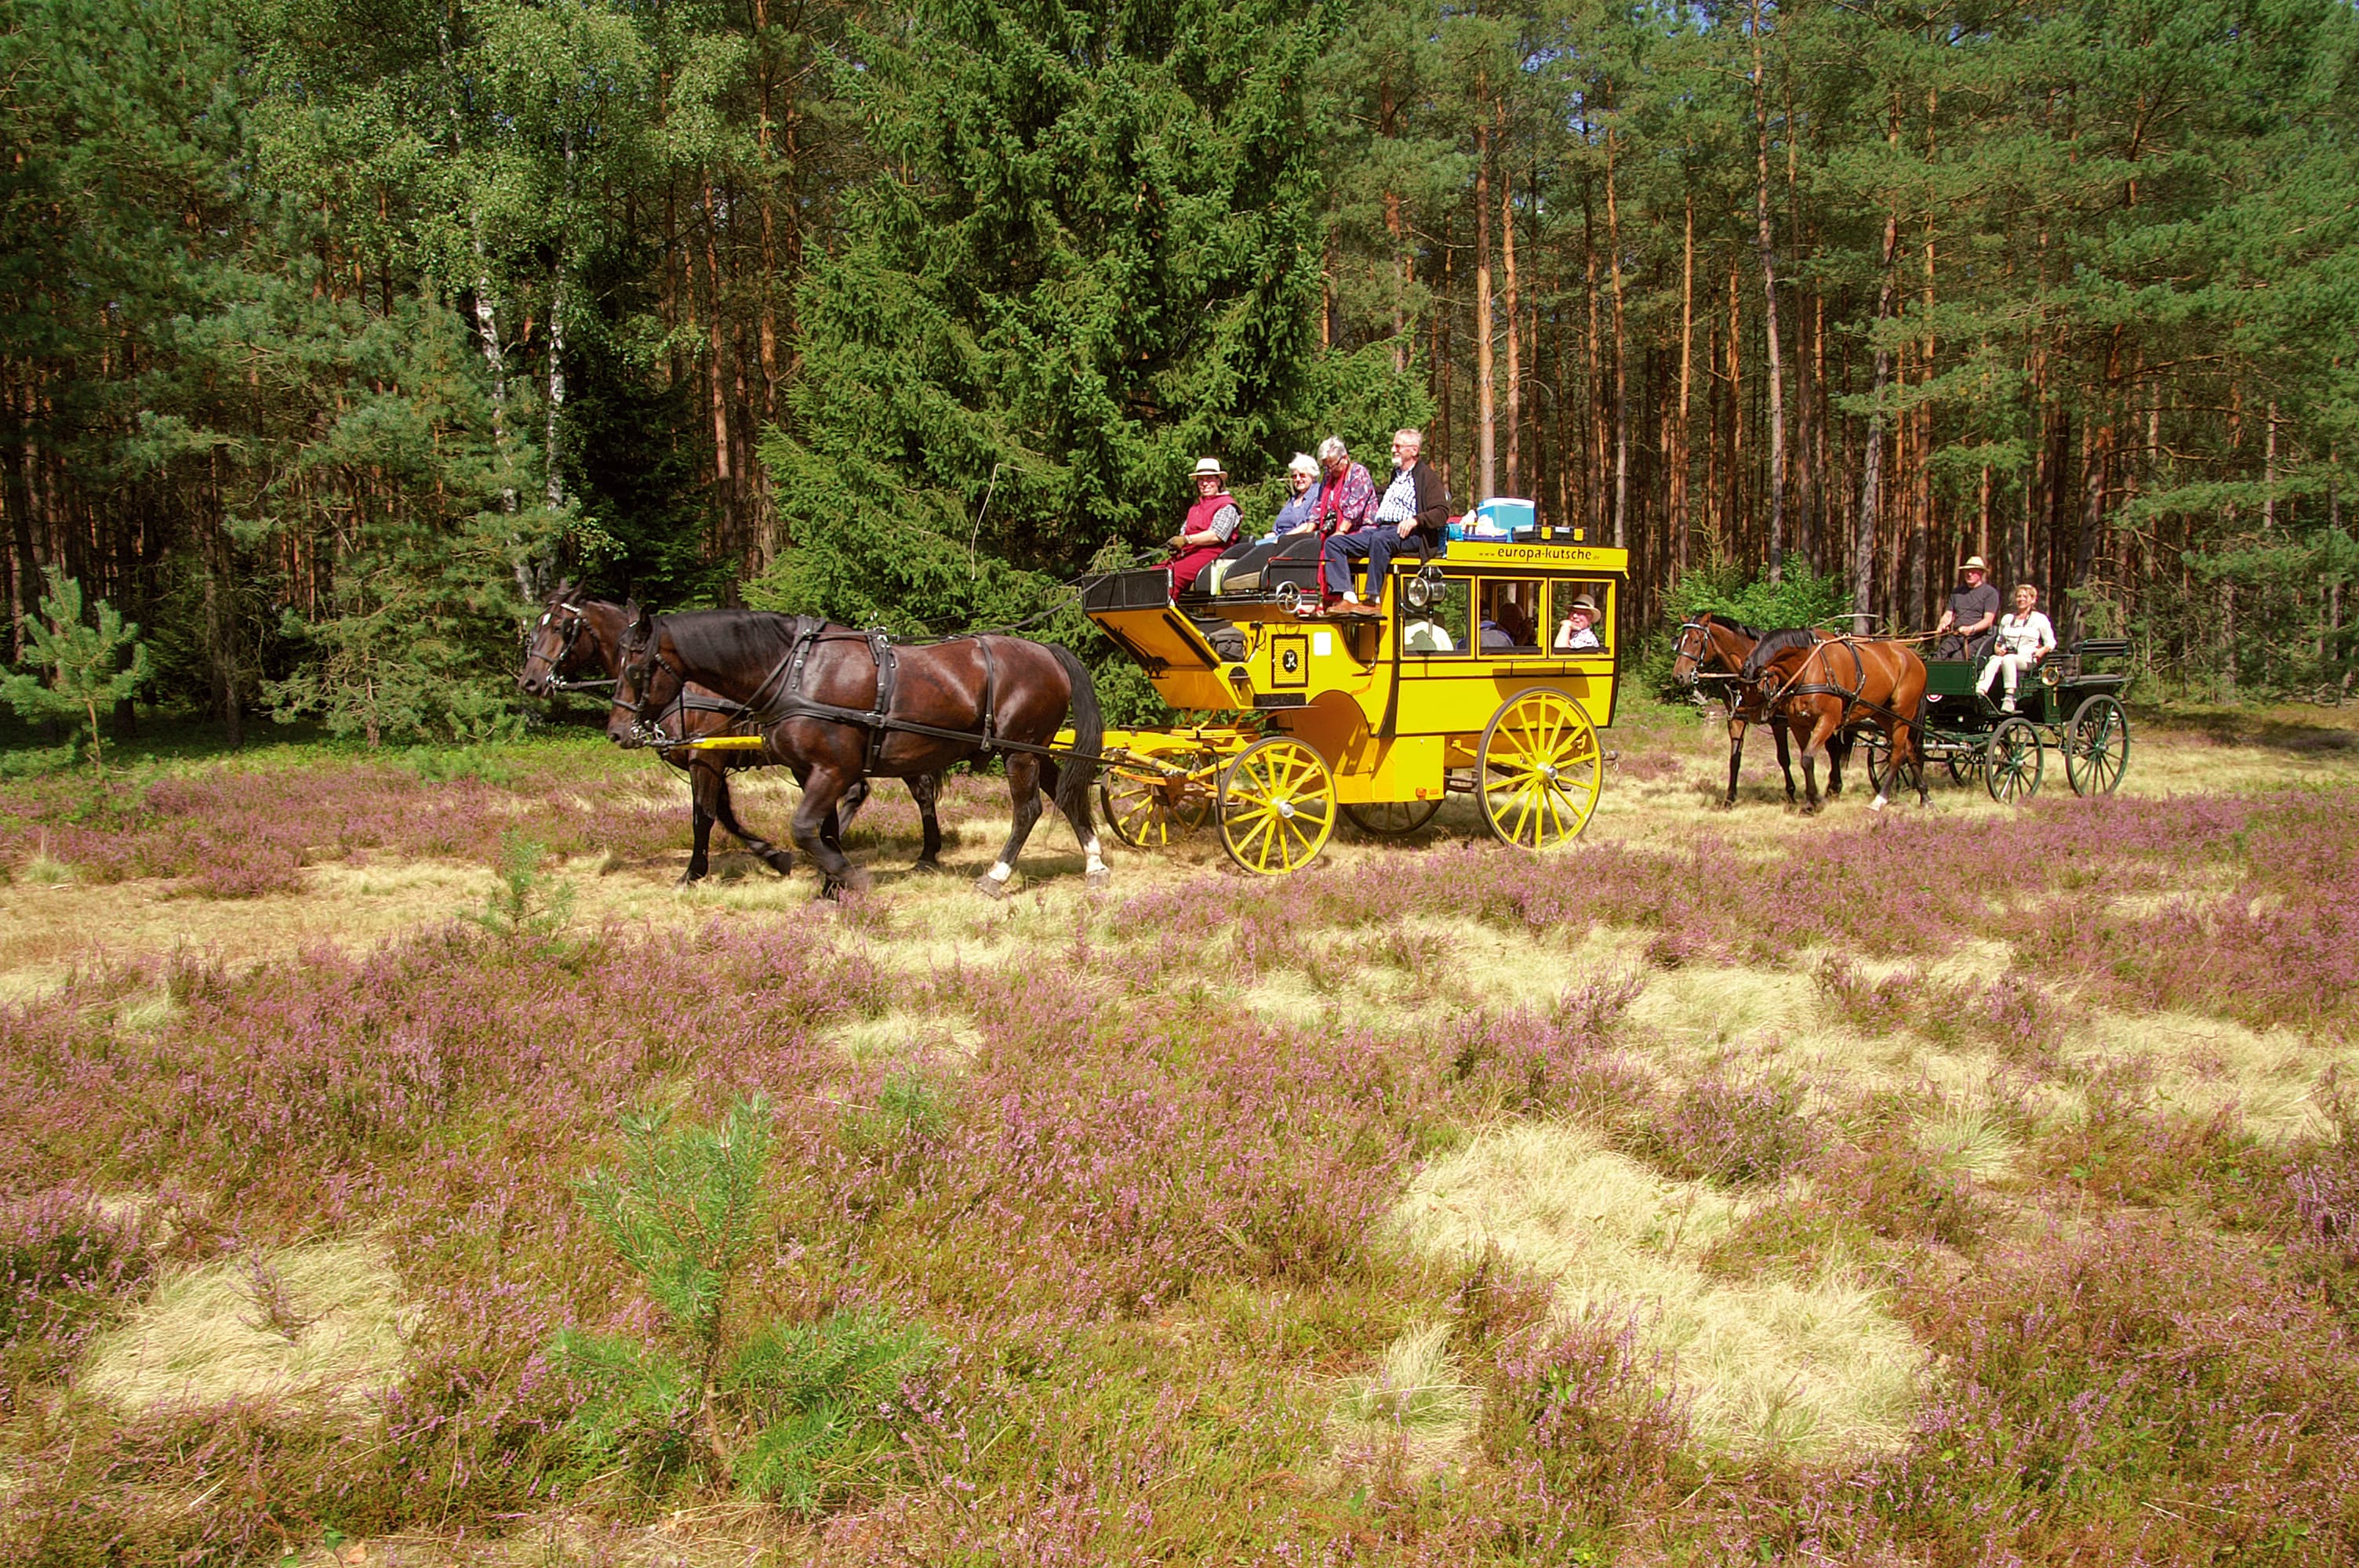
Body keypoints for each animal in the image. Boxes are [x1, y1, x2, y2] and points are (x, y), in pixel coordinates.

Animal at [523, 586, 939, 881]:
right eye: (534, 628)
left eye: (560, 627)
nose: (530, 682)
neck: (690, 687)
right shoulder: (711, 759)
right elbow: (724, 814)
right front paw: (775, 856)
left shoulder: (705, 756)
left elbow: (704, 815)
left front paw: (694, 872)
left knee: (917, 792)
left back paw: (927, 854)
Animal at [609, 612, 1103, 905]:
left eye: (636, 669)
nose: (617, 731)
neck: (798, 672)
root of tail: (1047, 651)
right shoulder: (811, 770)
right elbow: (823, 829)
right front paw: (831, 886)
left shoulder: (828, 769)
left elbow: (798, 827)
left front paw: (850, 877)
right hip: (1036, 750)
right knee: (1067, 796)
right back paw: (1095, 865)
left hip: (1019, 751)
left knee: (1028, 810)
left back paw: (995, 876)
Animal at [1670, 608, 1849, 806]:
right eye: (1680, 640)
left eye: (1696, 641)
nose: (1679, 676)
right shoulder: (1736, 719)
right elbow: (1735, 759)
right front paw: (1729, 799)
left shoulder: (1779, 722)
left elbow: (1783, 758)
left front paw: (1791, 794)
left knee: (1833, 749)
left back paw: (1834, 787)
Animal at [1736, 627, 1934, 811]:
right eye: (1741, 688)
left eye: (1758, 688)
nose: (1753, 716)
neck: (1809, 666)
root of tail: (1915, 657)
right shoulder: (1799, 724)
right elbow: (1806, 761)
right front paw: (1811, 801)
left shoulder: (1827, 721)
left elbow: (1808, 758)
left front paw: (1816, 800)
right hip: (1884, 714)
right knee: (1908, 750)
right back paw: (1925, 796)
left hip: (1902, 715)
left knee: (1897, 754)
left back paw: (1880, 799)